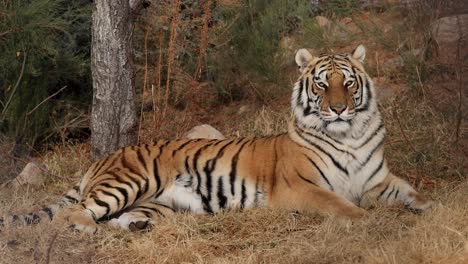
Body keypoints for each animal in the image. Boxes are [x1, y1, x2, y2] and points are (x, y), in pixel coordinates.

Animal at [0, 45, 432, 233]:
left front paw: (430, 208)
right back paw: (84, 228)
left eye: (349, 82)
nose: (340, 109)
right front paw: (368, 220)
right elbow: (341, 205)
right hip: (129, 181)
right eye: (323, 84)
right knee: (80, 211)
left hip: (161, 203)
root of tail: (103, 158)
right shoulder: (301, 188)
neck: (349, 136)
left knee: (124, 217)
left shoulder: (377, 180)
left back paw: (137, 226)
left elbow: (411, 192)